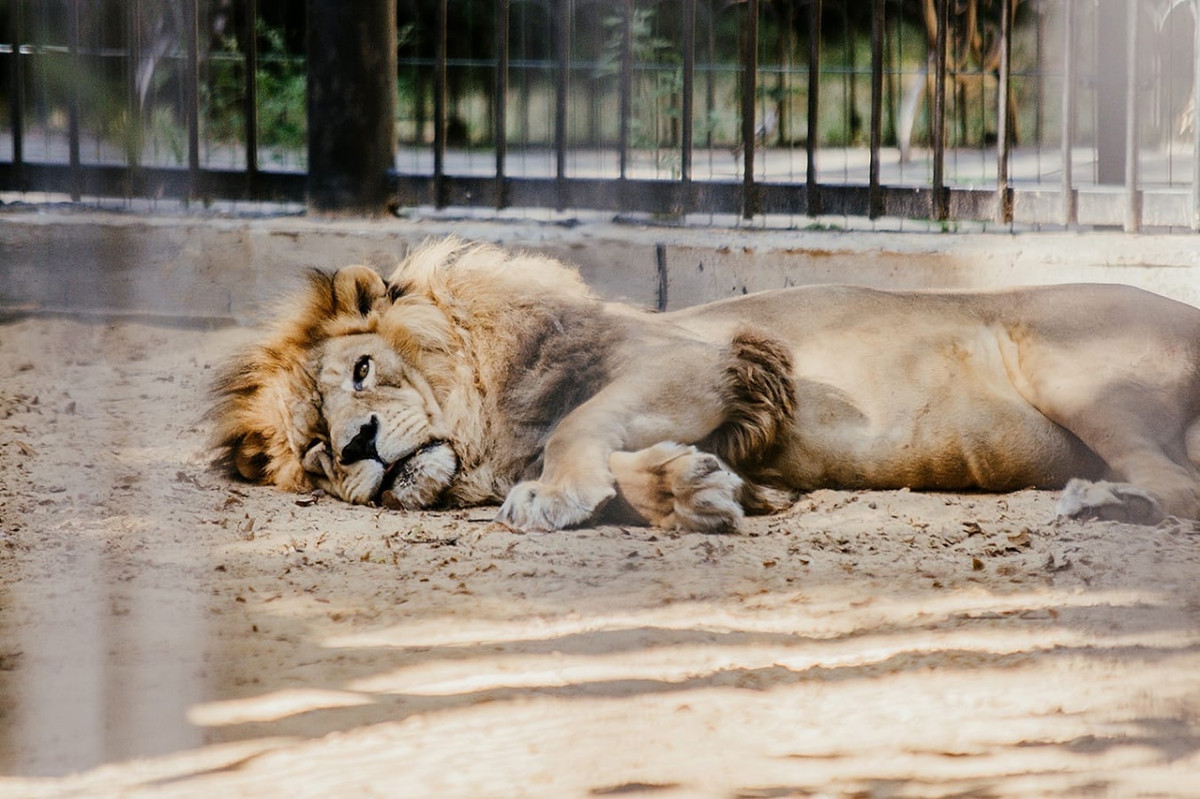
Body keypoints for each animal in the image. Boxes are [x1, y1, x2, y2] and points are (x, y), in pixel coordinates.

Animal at [211, 236, 1200, 527]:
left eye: (362, 370)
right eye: (316, 452)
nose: (358, 444)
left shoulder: (700, 357)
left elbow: (575, 430)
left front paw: (556, 494)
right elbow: (626, 457)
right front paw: (690, 489)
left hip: (1081, 374)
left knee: (1180, 487)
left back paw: (1101, 501)